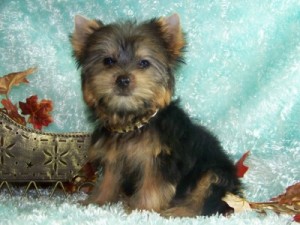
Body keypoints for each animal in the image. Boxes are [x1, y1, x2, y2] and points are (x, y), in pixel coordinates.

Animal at [70, 13, 241, 217]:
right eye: (108, 61)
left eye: (144, 63)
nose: (123, 79)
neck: (132, 121)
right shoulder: (114, 157)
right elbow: (109, 180)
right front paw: (97, 201)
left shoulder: (158, 160)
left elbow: (153, 186)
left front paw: (142, 209)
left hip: (214, 172)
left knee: (207, 194)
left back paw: (179, 211)